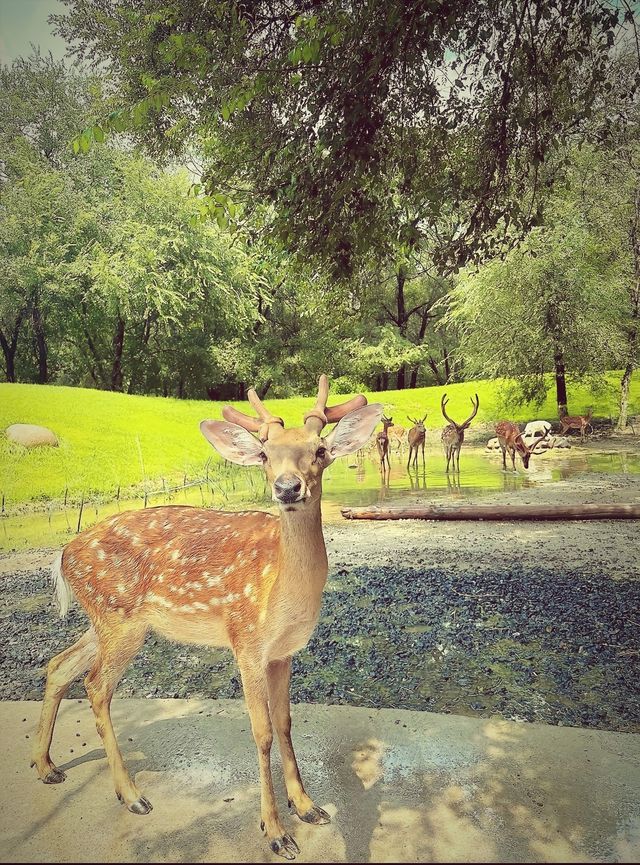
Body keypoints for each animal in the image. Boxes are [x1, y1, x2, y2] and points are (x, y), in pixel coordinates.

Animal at [32, 376, 382, 856]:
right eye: (265, 453)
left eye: (320, 449)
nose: (288, 487)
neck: (282, 590)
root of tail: (63, 554)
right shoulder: (246, 638)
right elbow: (262, 731)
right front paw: (275, 832)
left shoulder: (284, 651)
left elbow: (286, 722)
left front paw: (308, 807)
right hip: (120, 621)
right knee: (96, 685)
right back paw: (132, 795)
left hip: (104, 621)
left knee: (58, 665)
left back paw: (46, 766)